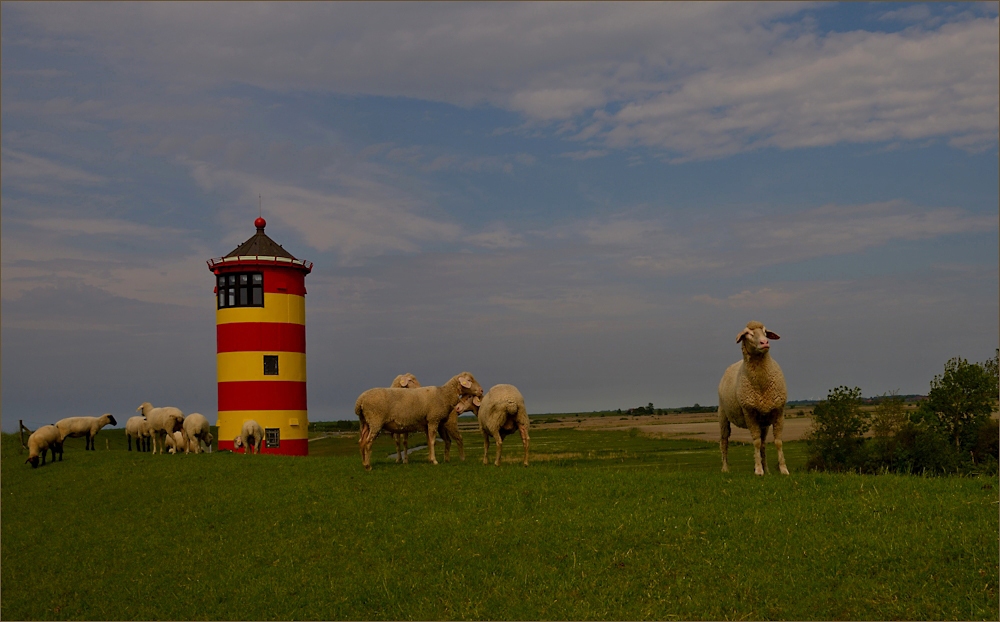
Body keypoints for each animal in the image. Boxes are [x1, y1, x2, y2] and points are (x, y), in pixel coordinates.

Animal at [356, 372, 484, 470]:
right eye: (469, 380)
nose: (481, 390)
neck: (444, 394)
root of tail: (360, 400)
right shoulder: (433, 419)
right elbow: (432, 441)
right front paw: (434, 460)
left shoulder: (428, 423)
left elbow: (428, 441)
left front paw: (430, 459)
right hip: (375, 421)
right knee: (368, 442)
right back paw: (368, 466)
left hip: (365, 422)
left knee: (361, 441)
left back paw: (363, 463)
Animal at [720, 322, 788, 478]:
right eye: (748, 334)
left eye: (765, 332)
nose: (765, 342)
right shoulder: (749, 413)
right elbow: (756, 442)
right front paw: (758, 470)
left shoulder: (778, 411)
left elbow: (778, 442)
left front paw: (783, 469)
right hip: (723, 415)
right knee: (724, 441)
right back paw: (725, 468)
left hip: (764, 422)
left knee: (763, 444)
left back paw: (767, 469)